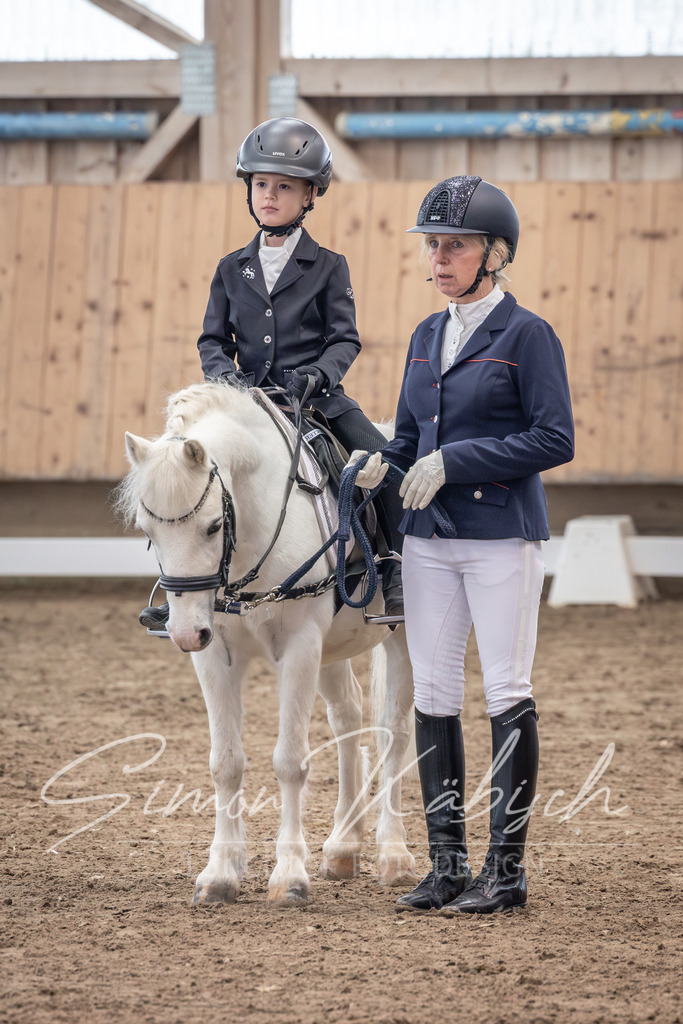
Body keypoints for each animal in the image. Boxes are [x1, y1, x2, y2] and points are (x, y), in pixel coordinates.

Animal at [115, 380, 417, 905]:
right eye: (148, 532)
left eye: (213, 525)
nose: (183, 633)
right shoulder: (215, 656)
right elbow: (226, 763)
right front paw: (220, 874)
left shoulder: (298, 647)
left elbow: (290, 762)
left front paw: (289, 877)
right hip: (332, 651)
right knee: (348, 719)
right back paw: (343, 848)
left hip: (399, 638)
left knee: (393, 732)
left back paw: (393, 855)